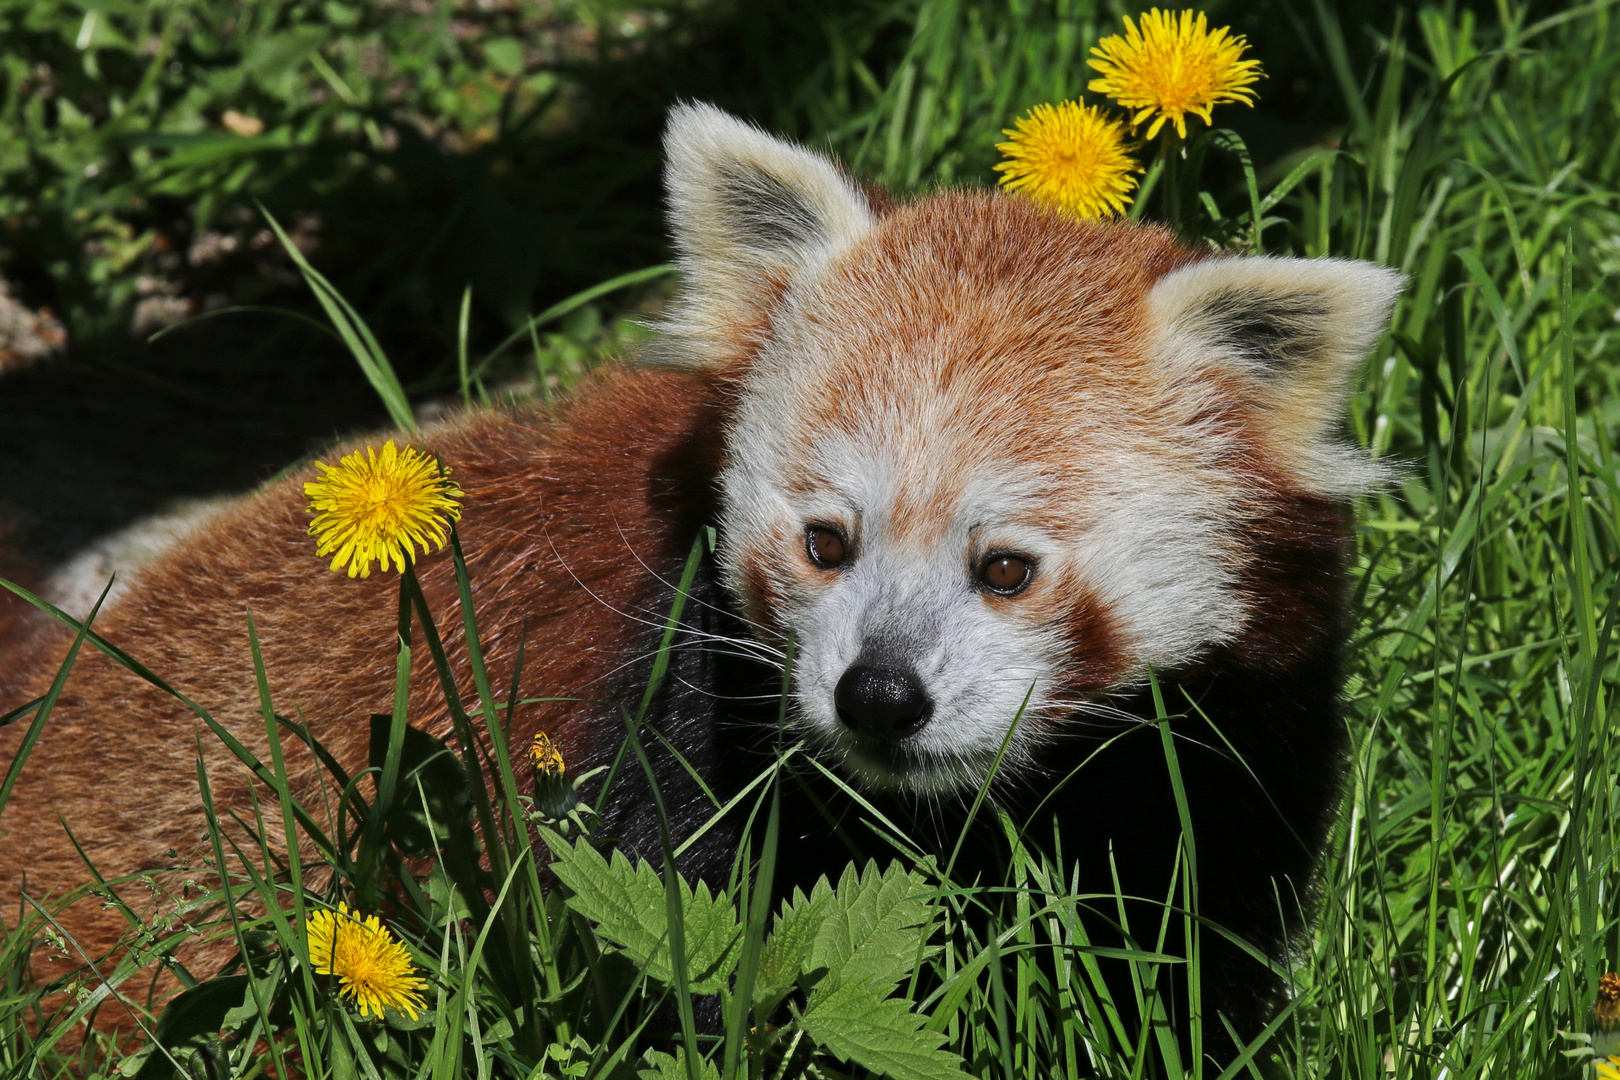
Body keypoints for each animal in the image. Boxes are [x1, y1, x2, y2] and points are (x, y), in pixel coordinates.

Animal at [0, 105, 1399, 1062]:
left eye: (1006, 569)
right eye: (828, 541)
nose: (879, 696)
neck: (936, 816)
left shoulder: (1216, 745)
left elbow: (1180, 936)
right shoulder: (667, 708)